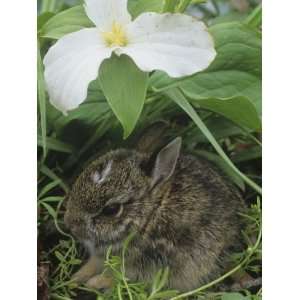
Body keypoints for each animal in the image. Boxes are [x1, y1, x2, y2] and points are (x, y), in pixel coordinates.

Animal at [64, 124, 245, 290]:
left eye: (111, 209)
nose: (71, 225)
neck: (149, 216)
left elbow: (121, 278)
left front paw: (94, 283)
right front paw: (74, 279)